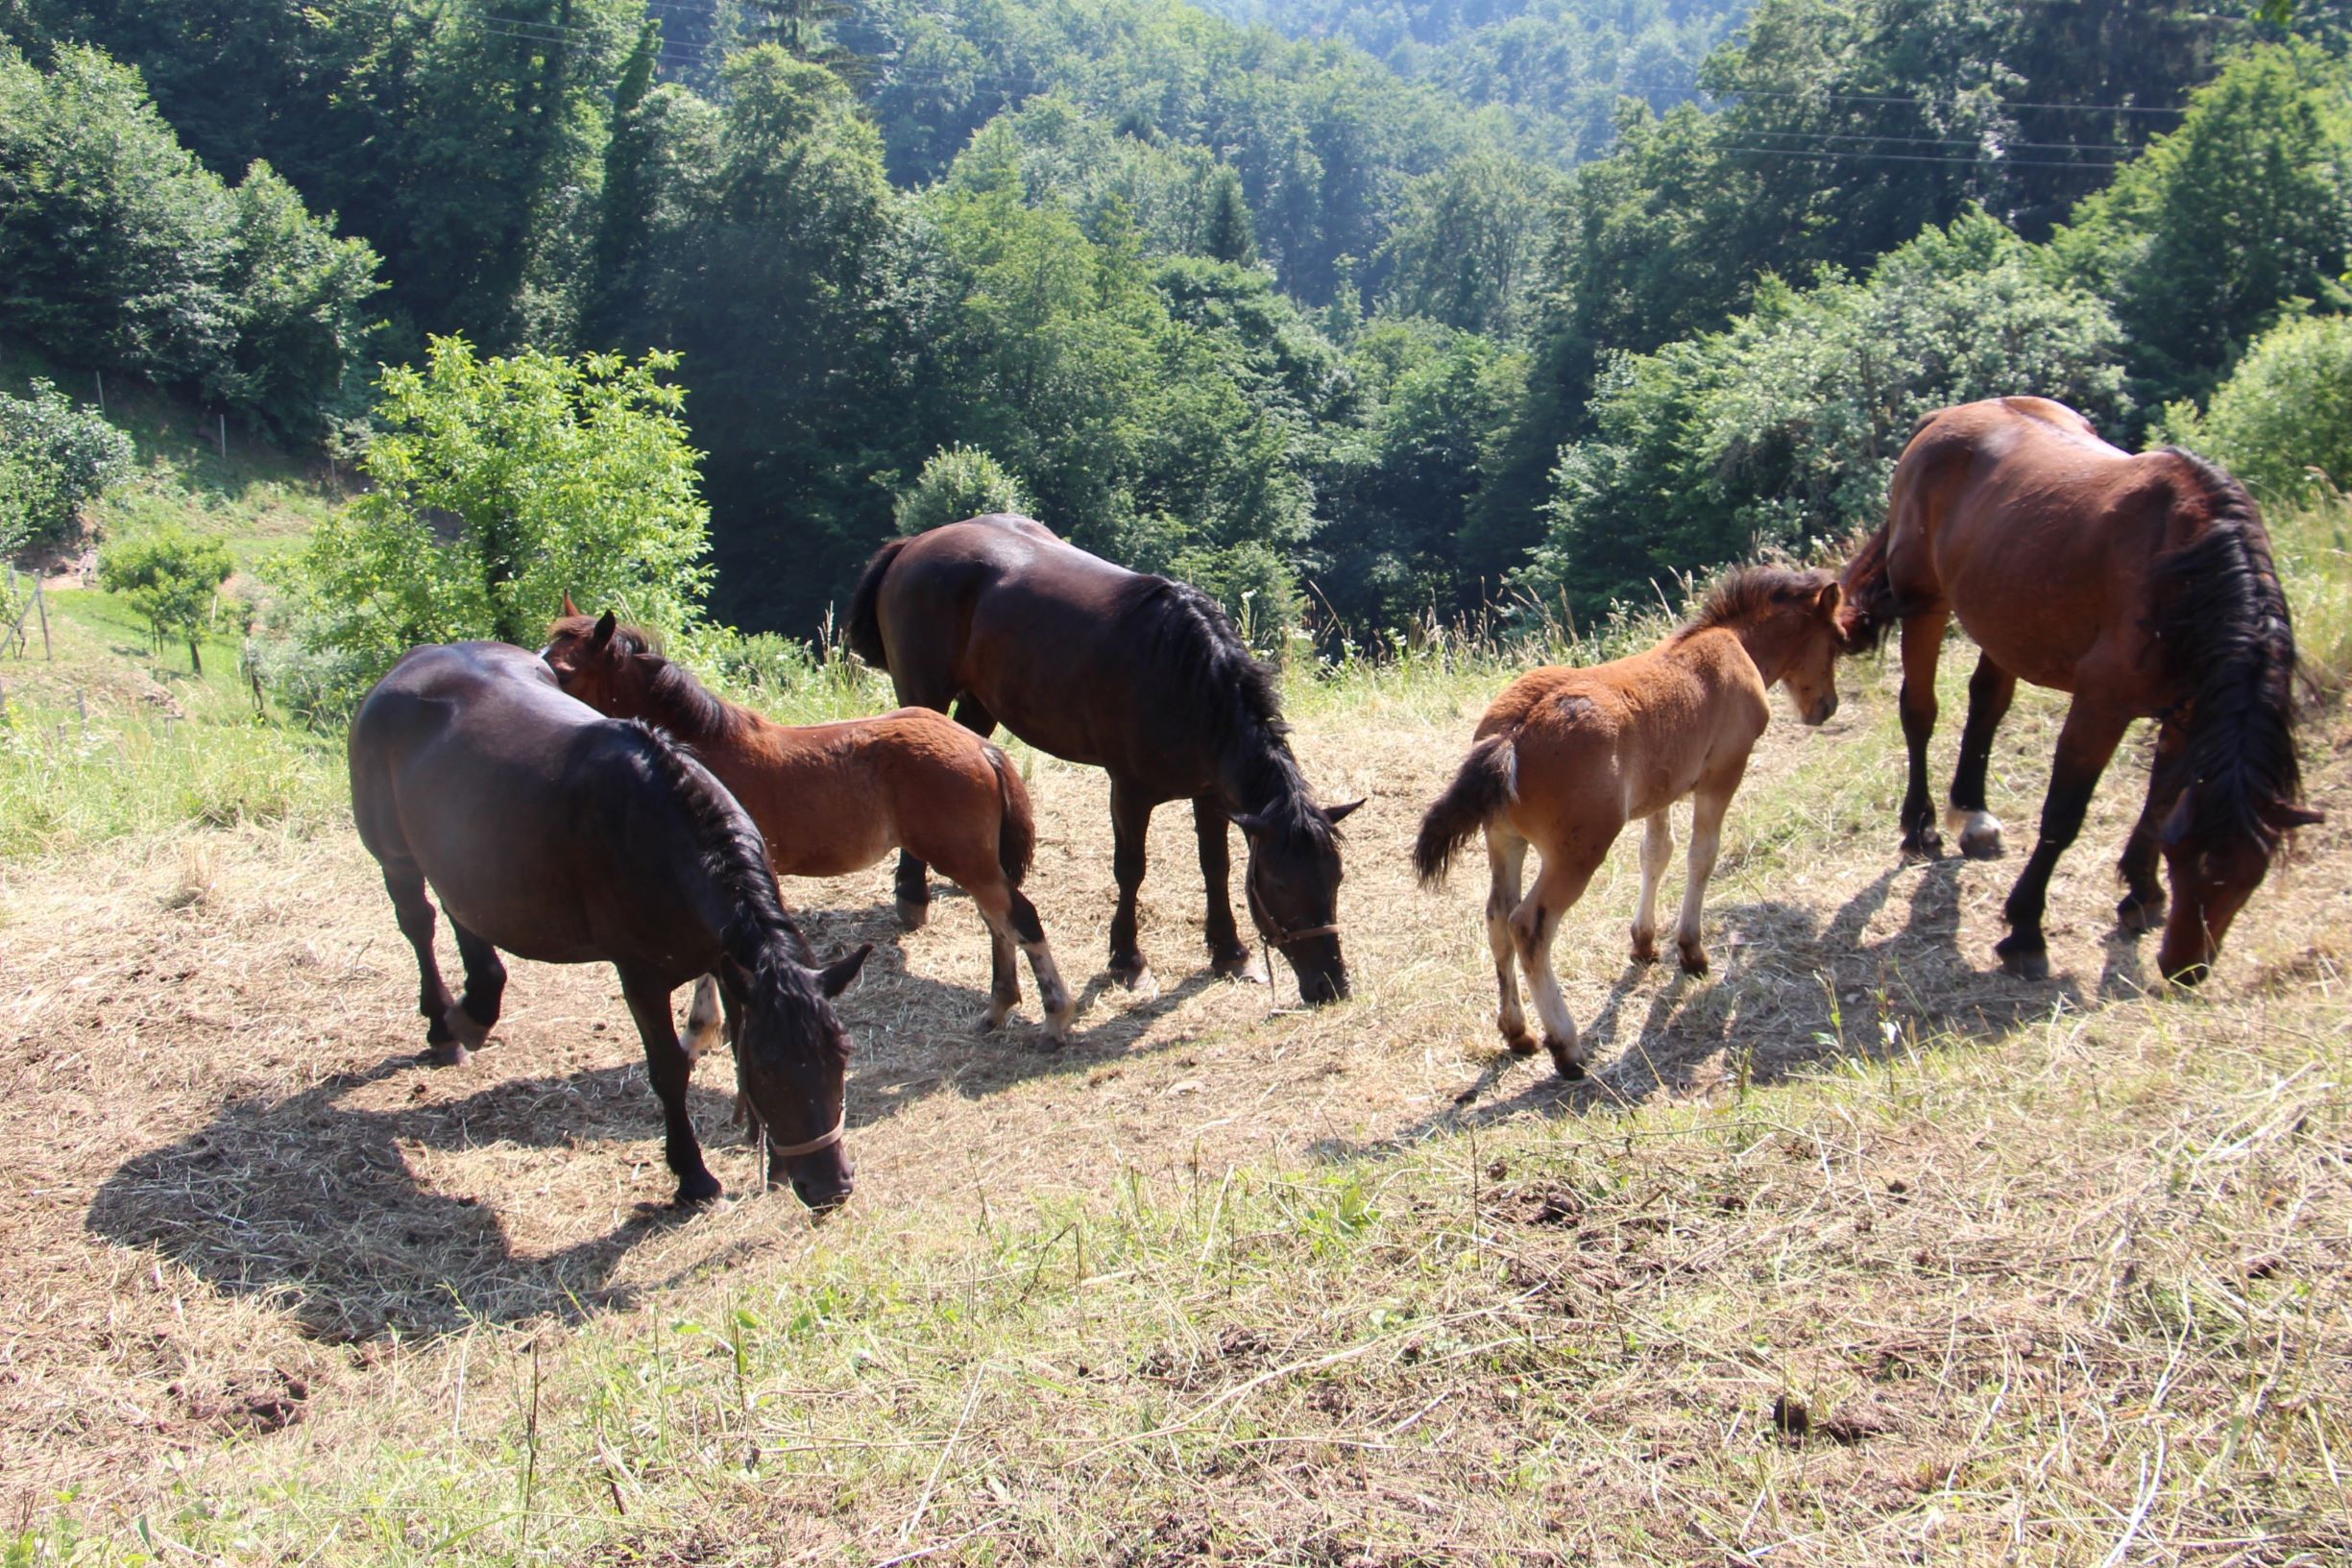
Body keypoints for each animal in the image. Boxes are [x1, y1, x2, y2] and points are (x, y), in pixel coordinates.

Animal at [343, 643, 870, 1213]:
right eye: (771, 1069)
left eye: (842, 1057)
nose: (831, 1188)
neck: (667, 842)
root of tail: (413, 661)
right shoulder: (642, 978)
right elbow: (670, 1071)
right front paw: (693, 1177)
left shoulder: (729, 964)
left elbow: (735, 1043)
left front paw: (770, 1157)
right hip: (394, 856)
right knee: (418, 922)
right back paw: (444, 1028)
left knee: (463, 912)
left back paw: (477, 1006)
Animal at [546, 611, 1072, 1044]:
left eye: (563, 672)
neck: (703, 752)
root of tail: (982, 747)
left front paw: (701, 1033)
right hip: (973, 860)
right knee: (998, 923)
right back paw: (997, 1010)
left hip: (965, 858)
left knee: (1020, 918)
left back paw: (1055, 1018)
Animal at [846, 515, 1364, 1005]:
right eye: (1280, 884)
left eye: (1336, 878)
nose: (1331, 985)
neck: (1184, 680)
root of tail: (914, 543)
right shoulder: (1130, 791)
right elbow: (1130, 870)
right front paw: (1127, 960)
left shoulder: (1212, 794)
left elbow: (1214, 865)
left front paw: (1229, 951)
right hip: (923, 695)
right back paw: (911, 892)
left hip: (980, 703)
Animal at [1411, 567, 1853, 1081]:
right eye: (1838, 639)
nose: (1827, 707)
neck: (1732, 644)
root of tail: (1511, 733)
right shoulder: (1722, 774)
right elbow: (1702, 856)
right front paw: (1691, 951)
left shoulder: (1661, 792)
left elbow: (1656, 854)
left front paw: (1644, 943)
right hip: (1578, 851)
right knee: (1530, 926)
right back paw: (1567, 1047)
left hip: (1504, 841)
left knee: (1498, 917)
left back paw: (1518, 1033)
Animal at [1834, 392, 2314, 982]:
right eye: (2187, 859)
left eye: (2252, 875)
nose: (2185, 967)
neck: (2185, 575)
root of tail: (1944, 418)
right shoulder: (2099, 709)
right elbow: (2063, 815)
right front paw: (2025, 929)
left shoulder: (2185, 711)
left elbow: (2160, 801)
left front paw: (2141, 893)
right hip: (1926, 605)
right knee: (1919, 711)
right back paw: (1920, 827)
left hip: (2003, 614)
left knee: (1986, 703)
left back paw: (1972, 813)